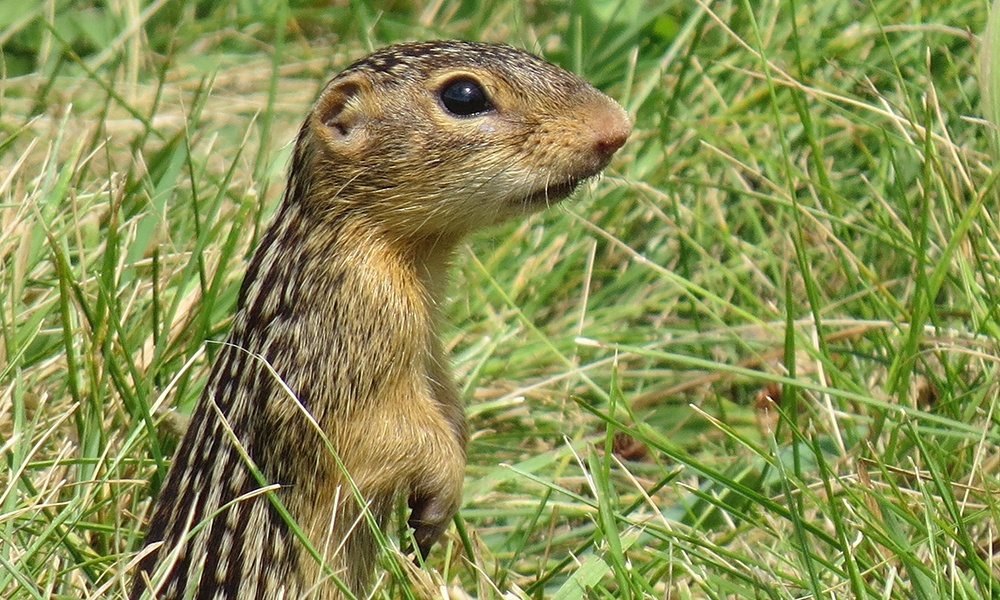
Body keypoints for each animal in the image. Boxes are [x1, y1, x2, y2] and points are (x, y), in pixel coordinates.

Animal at [131, 39, 632, 596]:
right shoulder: (340, 358)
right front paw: (443, 489)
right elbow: (386, 434)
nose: (618, 126)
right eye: (463, 95)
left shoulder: (428, 350)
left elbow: (447, 407)